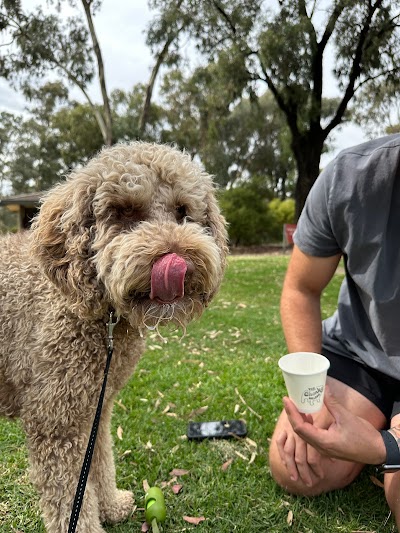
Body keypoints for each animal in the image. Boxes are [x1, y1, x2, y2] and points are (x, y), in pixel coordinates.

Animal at [0, 142, 228, 532]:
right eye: (122, 213)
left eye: (183, 212)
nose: (177, 260)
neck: (101, 317)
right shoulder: (56, 422)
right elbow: (69, 500)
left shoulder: (95, 407)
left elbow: (99, 461)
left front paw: (111, 505)